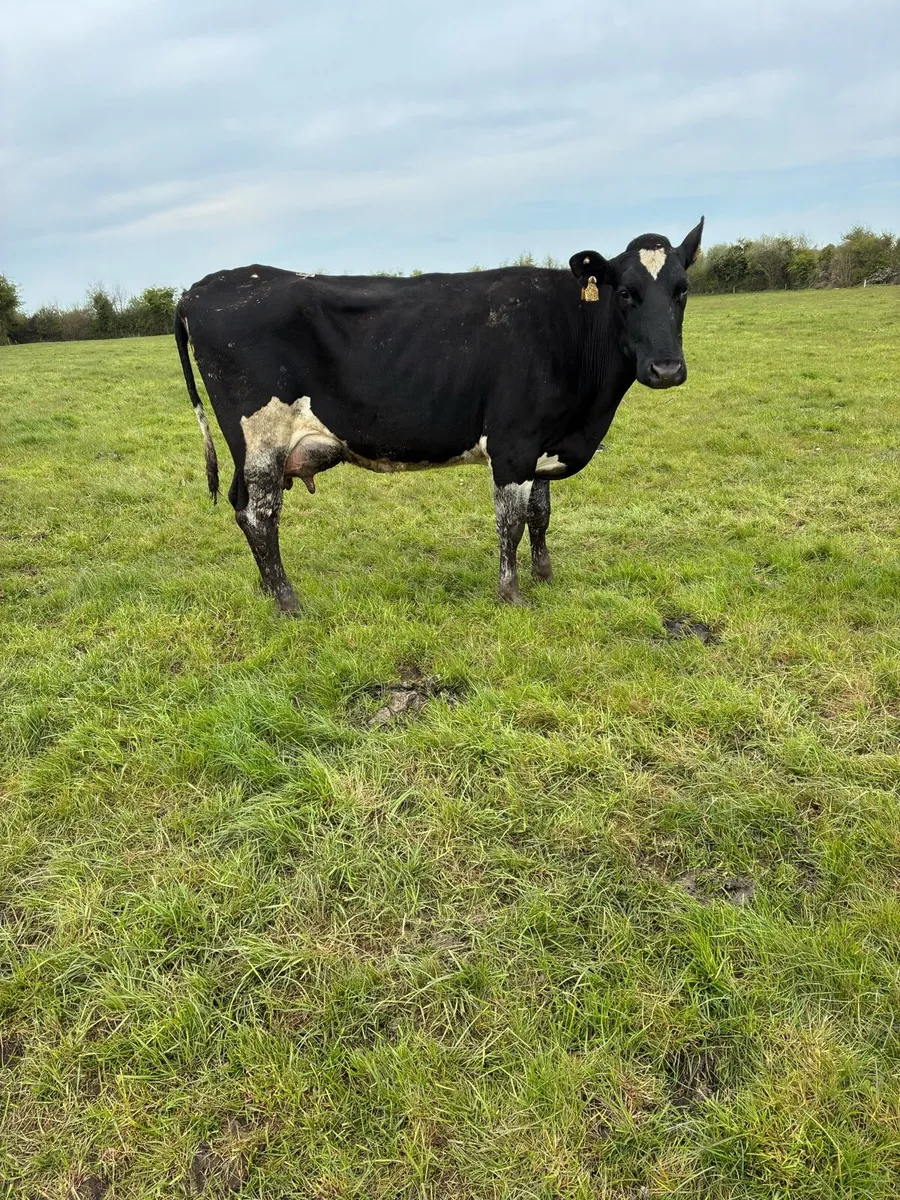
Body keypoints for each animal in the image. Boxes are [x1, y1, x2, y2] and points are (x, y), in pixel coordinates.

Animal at [174, 220, 704, 614]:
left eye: (682, 289)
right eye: (626, 293)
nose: (666, 369)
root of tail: (204, 286)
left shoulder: (543, 441)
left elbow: (540, 514)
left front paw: (545, 576)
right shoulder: (512, 445)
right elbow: (510, 522)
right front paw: (512, 595)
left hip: (248, 450)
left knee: (241, 506)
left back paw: (267, 589)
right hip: (262, 438)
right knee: (260, 514)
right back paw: (288, 601)